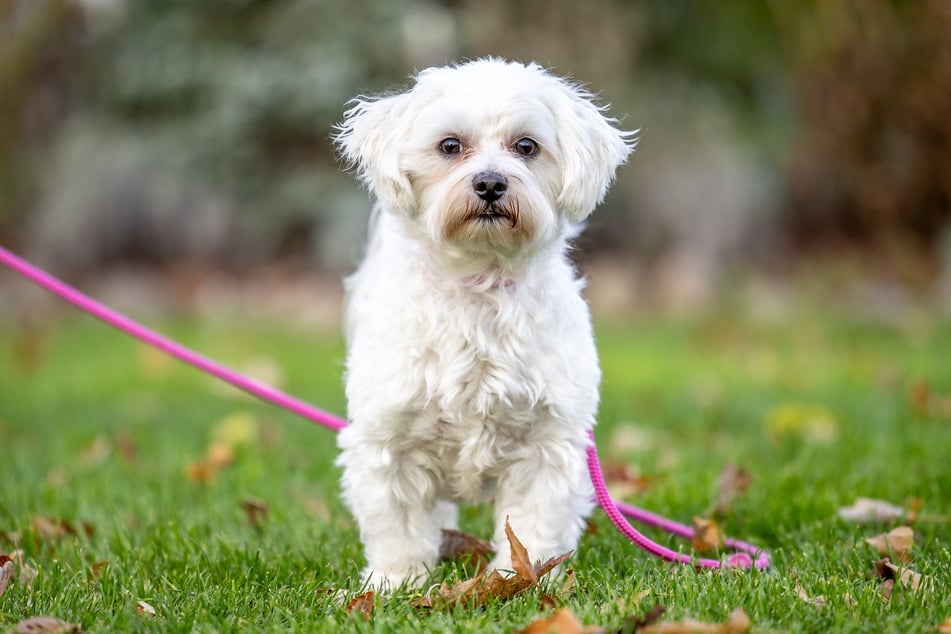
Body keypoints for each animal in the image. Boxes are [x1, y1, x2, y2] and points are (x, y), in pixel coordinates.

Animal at [332, 59, 632, 588]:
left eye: (526, 147)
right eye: (450, 146)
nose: (491, 183)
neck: (478, 285)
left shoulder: (549, 443)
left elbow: (532, 525)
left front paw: (522, 579)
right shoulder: (388, 441)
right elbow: (397, 524)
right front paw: (394, 582)